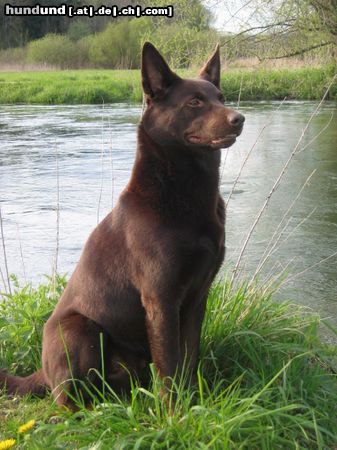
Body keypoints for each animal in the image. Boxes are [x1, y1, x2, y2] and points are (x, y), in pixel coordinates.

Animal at [0, 43, 243, 408]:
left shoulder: (198, 298)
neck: (185, 192)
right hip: (80, 329)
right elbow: (170, 367)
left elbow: (188, 358)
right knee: (65, 400)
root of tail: (41, 371)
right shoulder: (160, 298)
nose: (239, 119)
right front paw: (173, 413)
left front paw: (192, 402)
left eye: (221, 97)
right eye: (194, 102)